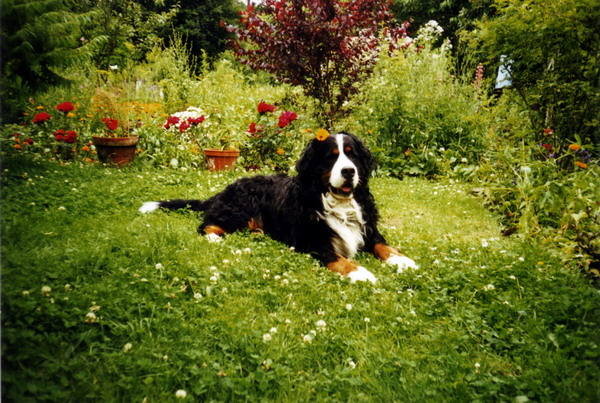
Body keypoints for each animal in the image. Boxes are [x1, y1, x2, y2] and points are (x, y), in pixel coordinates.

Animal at [139, 133, 418, 284]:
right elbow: (338, 258)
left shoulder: (367, 227)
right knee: (206, 224)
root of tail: (225, 189)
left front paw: (402, 260)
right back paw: (215, 238)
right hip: (241, 208)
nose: (349, 171)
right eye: (331, 156)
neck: (336, 203)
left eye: (352, 155)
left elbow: (383, 245)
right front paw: (360, 273)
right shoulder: (311, 240)